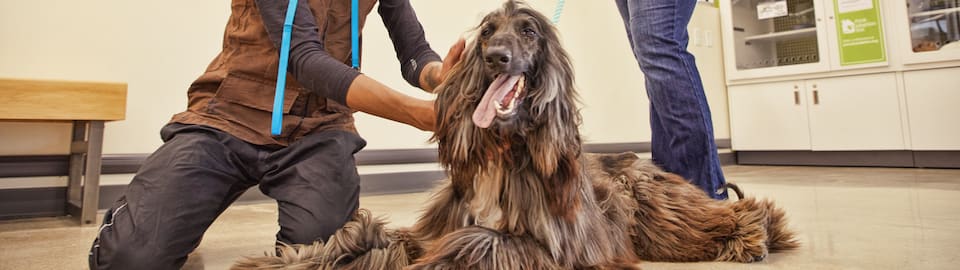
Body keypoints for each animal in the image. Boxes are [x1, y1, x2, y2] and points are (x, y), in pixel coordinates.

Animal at [231, 1, 796, 268]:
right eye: (486, 33)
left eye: (528, 32)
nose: (495, 57)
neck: (504, 150)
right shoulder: (431, 228)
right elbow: (364, 239)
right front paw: (290, 261)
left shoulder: (554, 247)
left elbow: (476, 242)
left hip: (656, 211)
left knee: (737, 211)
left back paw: (751, 234)